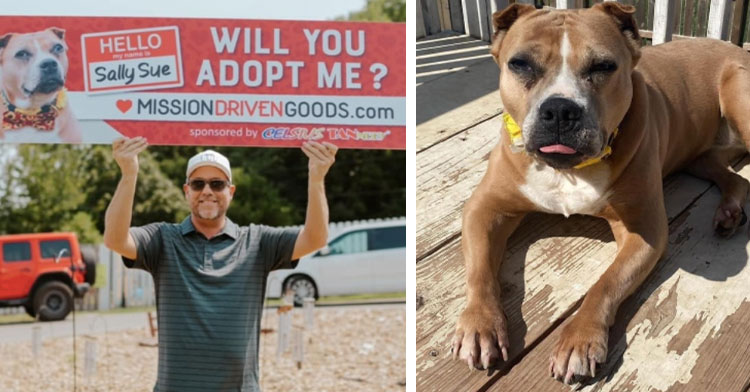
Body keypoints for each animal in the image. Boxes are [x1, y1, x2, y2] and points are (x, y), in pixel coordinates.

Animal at [452, 1, 750, 384]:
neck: (568, 171)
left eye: (603, 66)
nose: (560, 109)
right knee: (733, 177)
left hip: (738, 93)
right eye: (520, 64)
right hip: (698, 157)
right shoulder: (484, 207)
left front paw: (579, 340)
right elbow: (480, 270)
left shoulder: (644, 231)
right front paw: (481, 324)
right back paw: (728, 212)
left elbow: (605, 283)